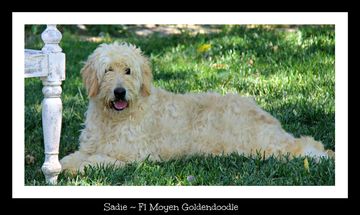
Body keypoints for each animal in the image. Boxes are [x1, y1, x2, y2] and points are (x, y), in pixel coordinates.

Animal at [59, 42, 334, 172]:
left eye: (128, 71)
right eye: (108, 70)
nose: (119, 92)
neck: (115, 120)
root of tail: (267, 115)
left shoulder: (134, 155)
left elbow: (99, 160)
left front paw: (78, 168)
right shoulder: (91, 145)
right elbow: (74, 156)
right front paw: (62, 165)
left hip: (261, 145)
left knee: (301, 145)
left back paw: (319, 156)